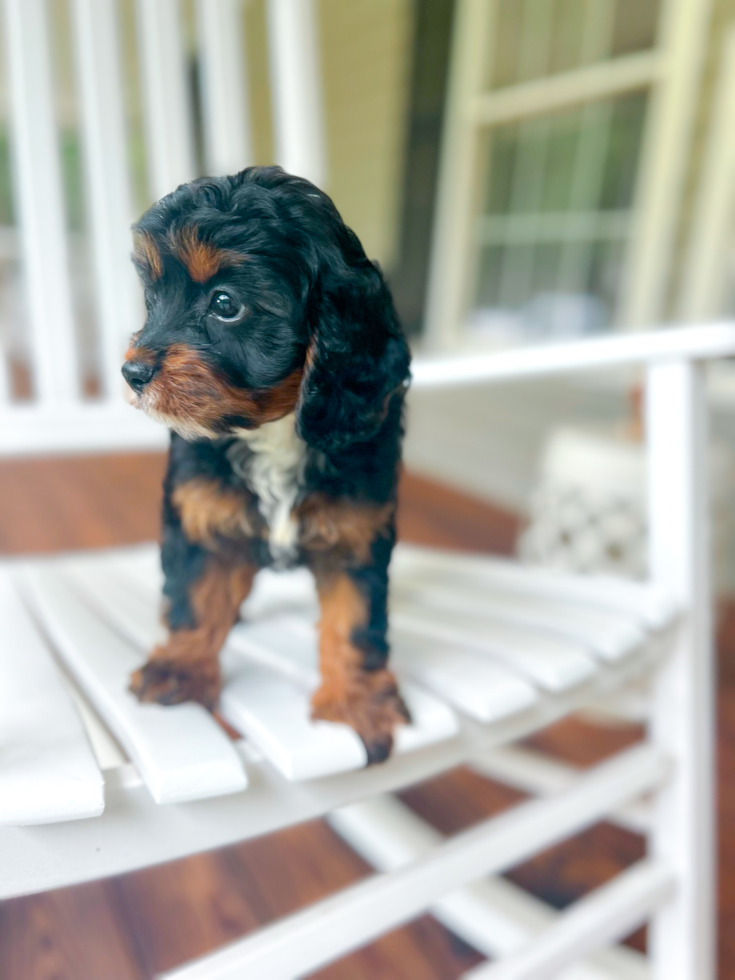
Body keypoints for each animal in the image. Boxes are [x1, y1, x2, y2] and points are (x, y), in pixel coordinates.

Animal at [119, 167, 408, 764]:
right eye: (152, 297)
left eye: (226, 304)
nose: (131, 372)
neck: (274, 427)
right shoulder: (201, 518)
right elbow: (197, 595)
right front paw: (180, 668)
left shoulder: (358, 533)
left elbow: (355, 622)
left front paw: (356, 702)